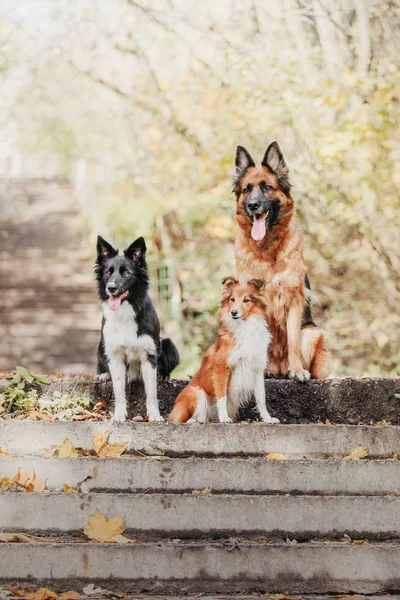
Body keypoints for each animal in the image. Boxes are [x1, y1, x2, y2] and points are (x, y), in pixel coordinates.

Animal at [94, 234, 179, 422]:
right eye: (108, 272)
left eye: (126, 273)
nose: (111, 288)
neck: (125, 311)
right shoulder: (115, 355)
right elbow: (119, 391)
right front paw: (119, 415)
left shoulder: (149, 354)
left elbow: (152, 392)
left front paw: (154, 415)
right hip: (101, 346)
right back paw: (103, 375)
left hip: (169, 346)